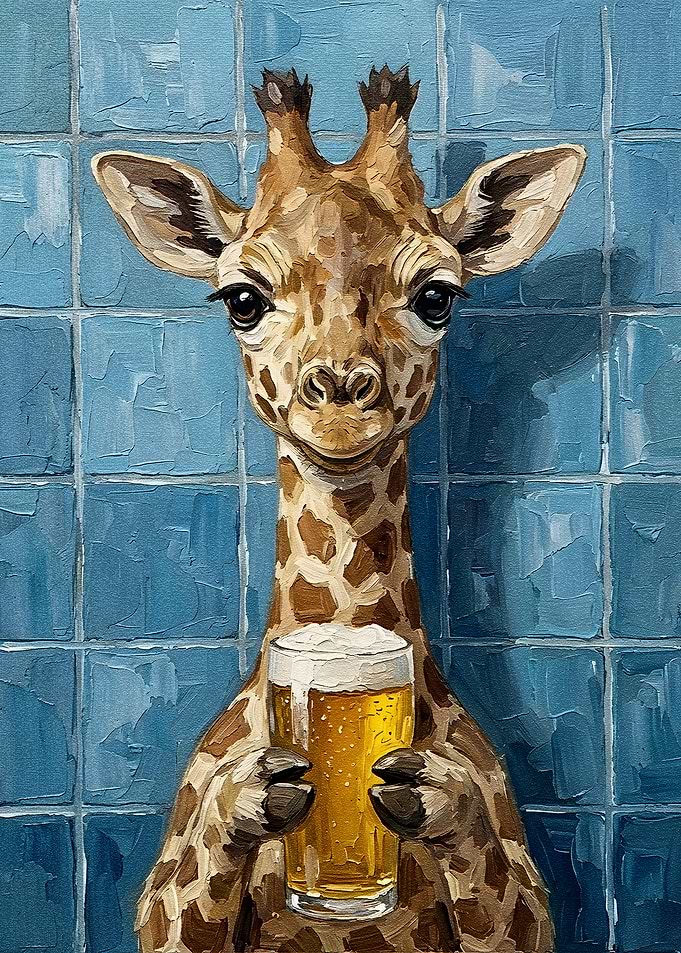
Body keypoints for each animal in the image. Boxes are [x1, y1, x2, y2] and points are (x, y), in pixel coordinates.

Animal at [92, 66, 586, 952]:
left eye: (437, 295)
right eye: (241, 298)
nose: (340, 399)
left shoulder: (528, 916)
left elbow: (489, 879)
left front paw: (433, 794)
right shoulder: (161, 916)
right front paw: (250, 796)